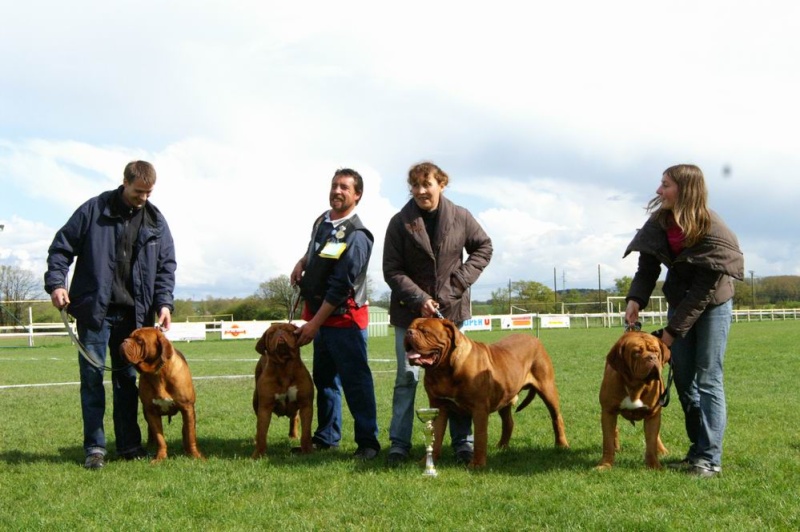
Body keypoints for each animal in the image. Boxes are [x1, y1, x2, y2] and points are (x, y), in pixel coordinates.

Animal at [121, 326, 205, 464]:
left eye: (139, 340)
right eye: (129, 336)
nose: (124, 341)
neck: (158, 372)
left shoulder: (187, 408)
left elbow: (191, 435)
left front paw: (195, 455)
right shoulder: (151, 412)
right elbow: (159, 437)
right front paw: (160, 457)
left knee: (185, 430)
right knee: (151, 432)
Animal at [252, 322, 314, 460]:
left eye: (289, 331)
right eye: (271, 333)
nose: (280, 333)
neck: (284, 367)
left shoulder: (306, 405)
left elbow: (306, 432)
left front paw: (307, 451)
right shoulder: (265, 407)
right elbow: (261, 432)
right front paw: (258, 454)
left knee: (294, 418)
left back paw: (293, 435)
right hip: (255, 401)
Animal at [406, 318, 568, 468]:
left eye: (425, 331)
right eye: (410, 327)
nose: (409, 333)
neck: (443, 370)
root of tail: (535, 339)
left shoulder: (479, 409)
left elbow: (480, 437)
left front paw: (477, 464)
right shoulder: (438, 406)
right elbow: (436, 435)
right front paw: (427, 462)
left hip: (547, 388)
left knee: (556, 417)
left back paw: (561, 445)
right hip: (505, 396)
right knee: (508, 422)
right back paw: (502, 446)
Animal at [596, 332, 672, 470]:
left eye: (656, 351)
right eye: (636, 353)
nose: (652, 357)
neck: (635, 386)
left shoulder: (653, 414)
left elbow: (651, 442)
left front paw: (654, 465)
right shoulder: (608, 411)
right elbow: (607, 441)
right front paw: (605, 465)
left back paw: (662, 450)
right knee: (614, 431)